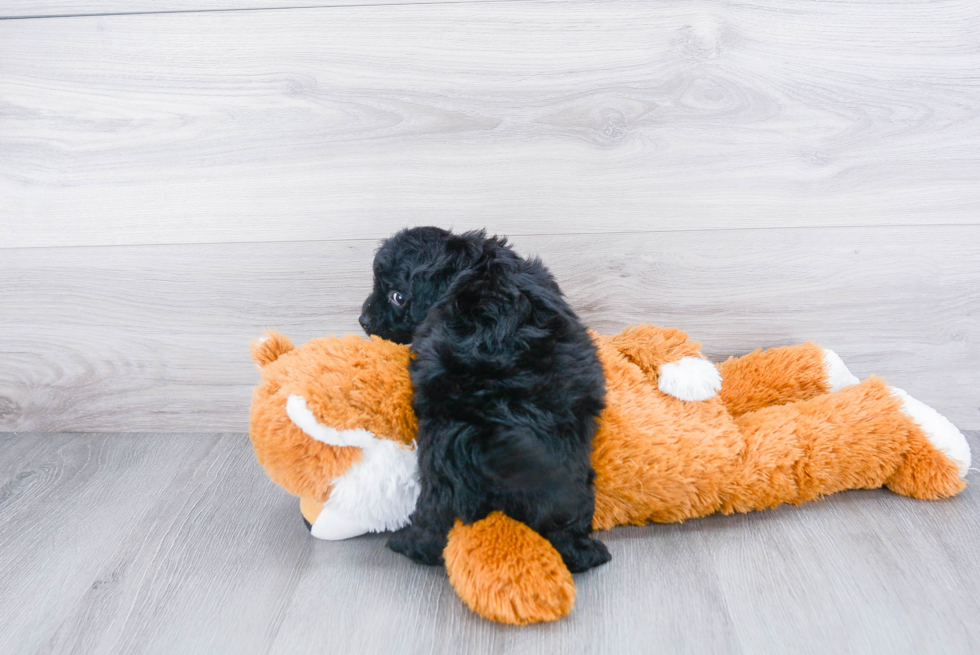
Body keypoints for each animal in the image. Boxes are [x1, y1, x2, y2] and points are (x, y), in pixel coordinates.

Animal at [356, 229, 608, 576]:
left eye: (397, 296)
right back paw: (585, 553)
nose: (363, 319)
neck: (475, 265)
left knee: (435, 515)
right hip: (568, 468)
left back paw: (410, 544)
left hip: (441, 463)